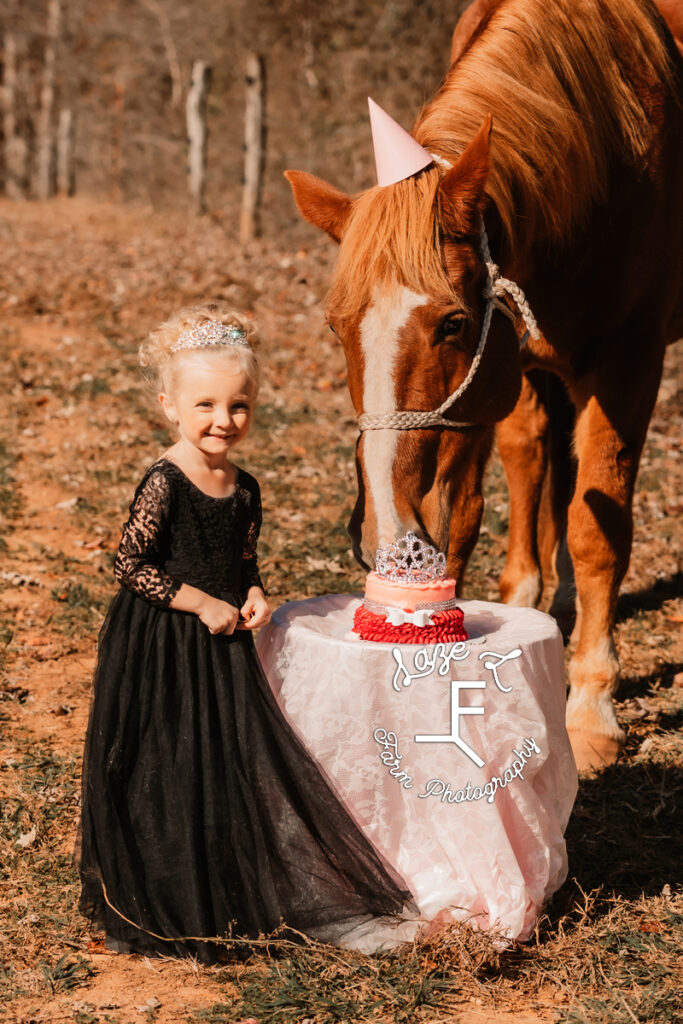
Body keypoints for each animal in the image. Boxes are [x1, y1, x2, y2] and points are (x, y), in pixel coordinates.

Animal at [286, 0, 683, 770]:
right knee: (535, 464)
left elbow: (599, 529)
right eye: (336, 324)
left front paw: (590, 708)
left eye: (453, 322)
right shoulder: (504, 369)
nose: (382, 533)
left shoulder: (627, 362)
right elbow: (474, 509)